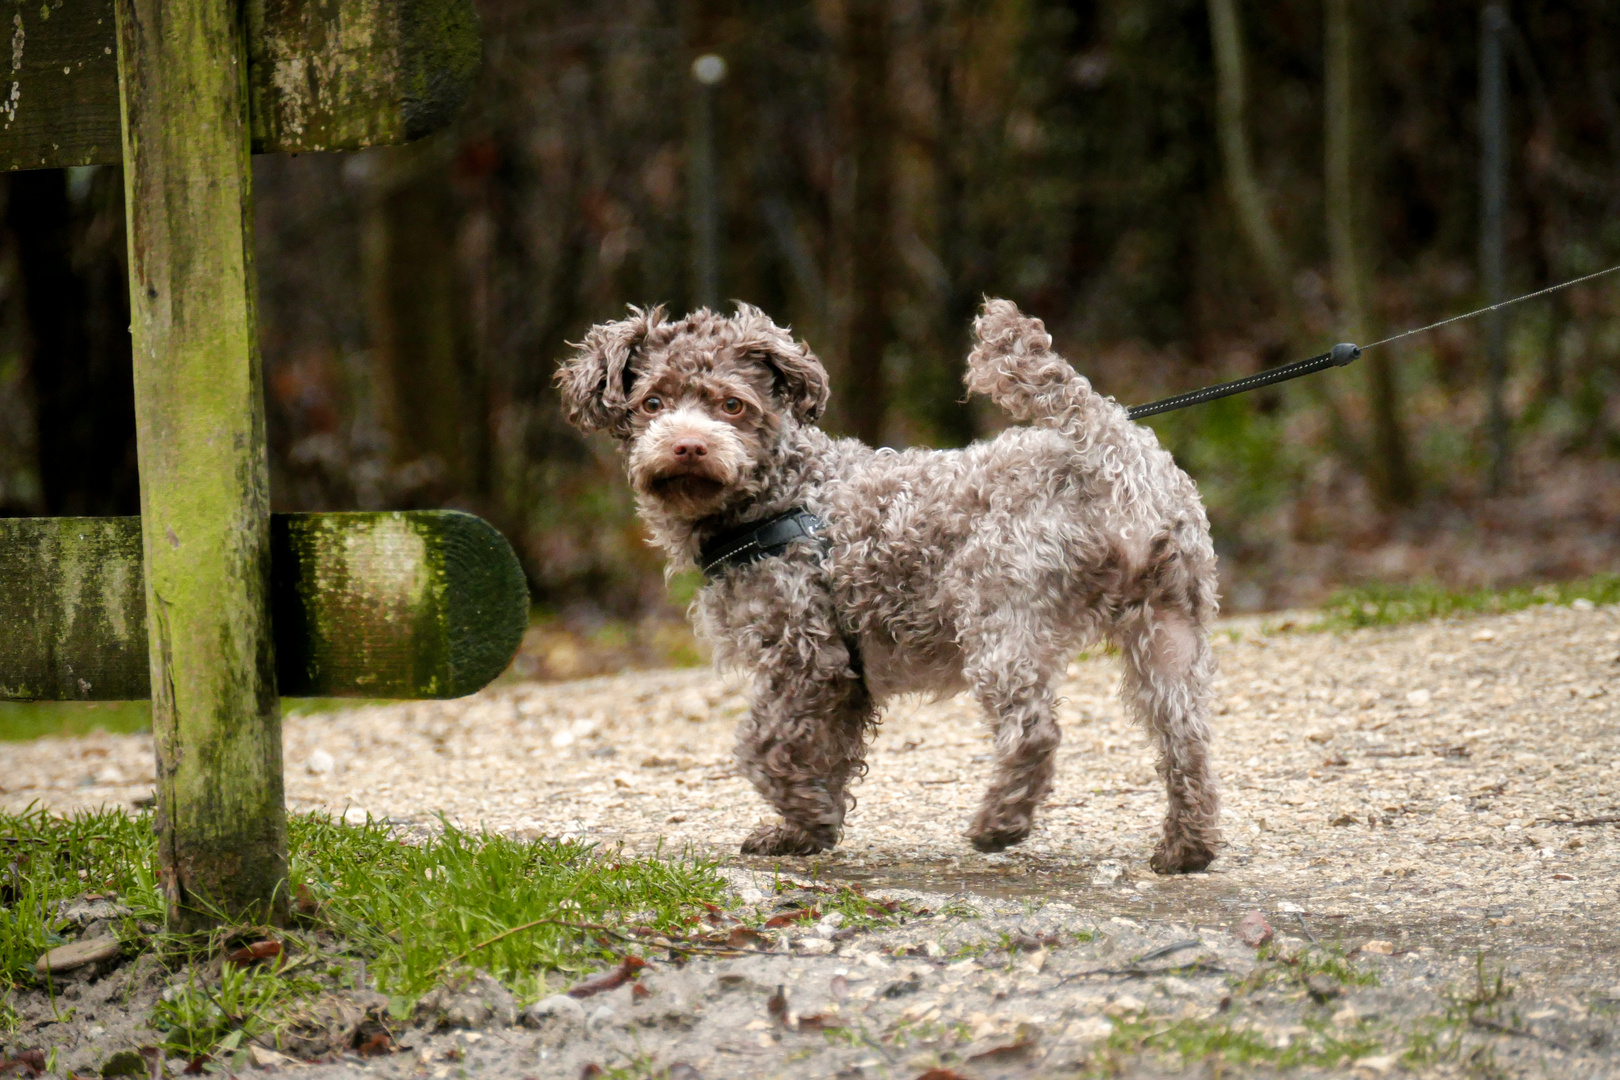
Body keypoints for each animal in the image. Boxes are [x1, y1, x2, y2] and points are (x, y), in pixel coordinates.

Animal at [557, 299, 1218, 874]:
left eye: (733, 406)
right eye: (652, 402)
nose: (689, 445)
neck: (784, 492)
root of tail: (1108, 443)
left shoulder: (805, 654)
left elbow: (762, 747)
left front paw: (809, 815)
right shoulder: (844, 680)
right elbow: (826, 752)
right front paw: (801, 832)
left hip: (1000, 614)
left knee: (1035, 730)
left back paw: (999, 823)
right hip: (1169, 631)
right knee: (1187, 741)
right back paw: (1187, 848)